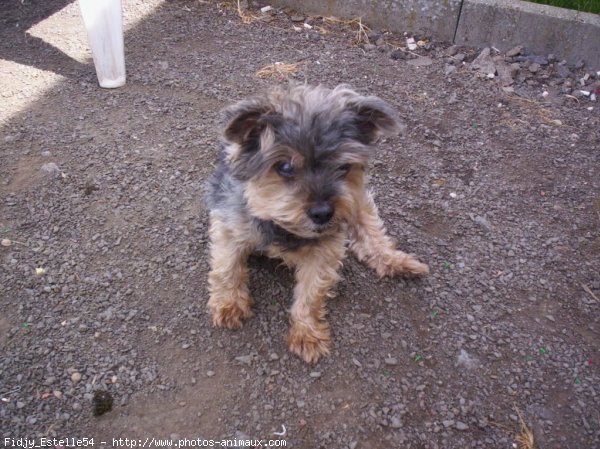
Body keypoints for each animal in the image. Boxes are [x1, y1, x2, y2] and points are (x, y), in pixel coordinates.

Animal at [204, 84, 428, 362]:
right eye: (285, 166)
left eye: (344, 166)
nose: (323, 213)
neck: (283, 225)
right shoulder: (230, 222)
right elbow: (227, 267)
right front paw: (229, 304)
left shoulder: (326, 247)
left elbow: (312, 292)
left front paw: (307, 334)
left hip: (355, 202)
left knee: (371, 229)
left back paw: (396, 260)